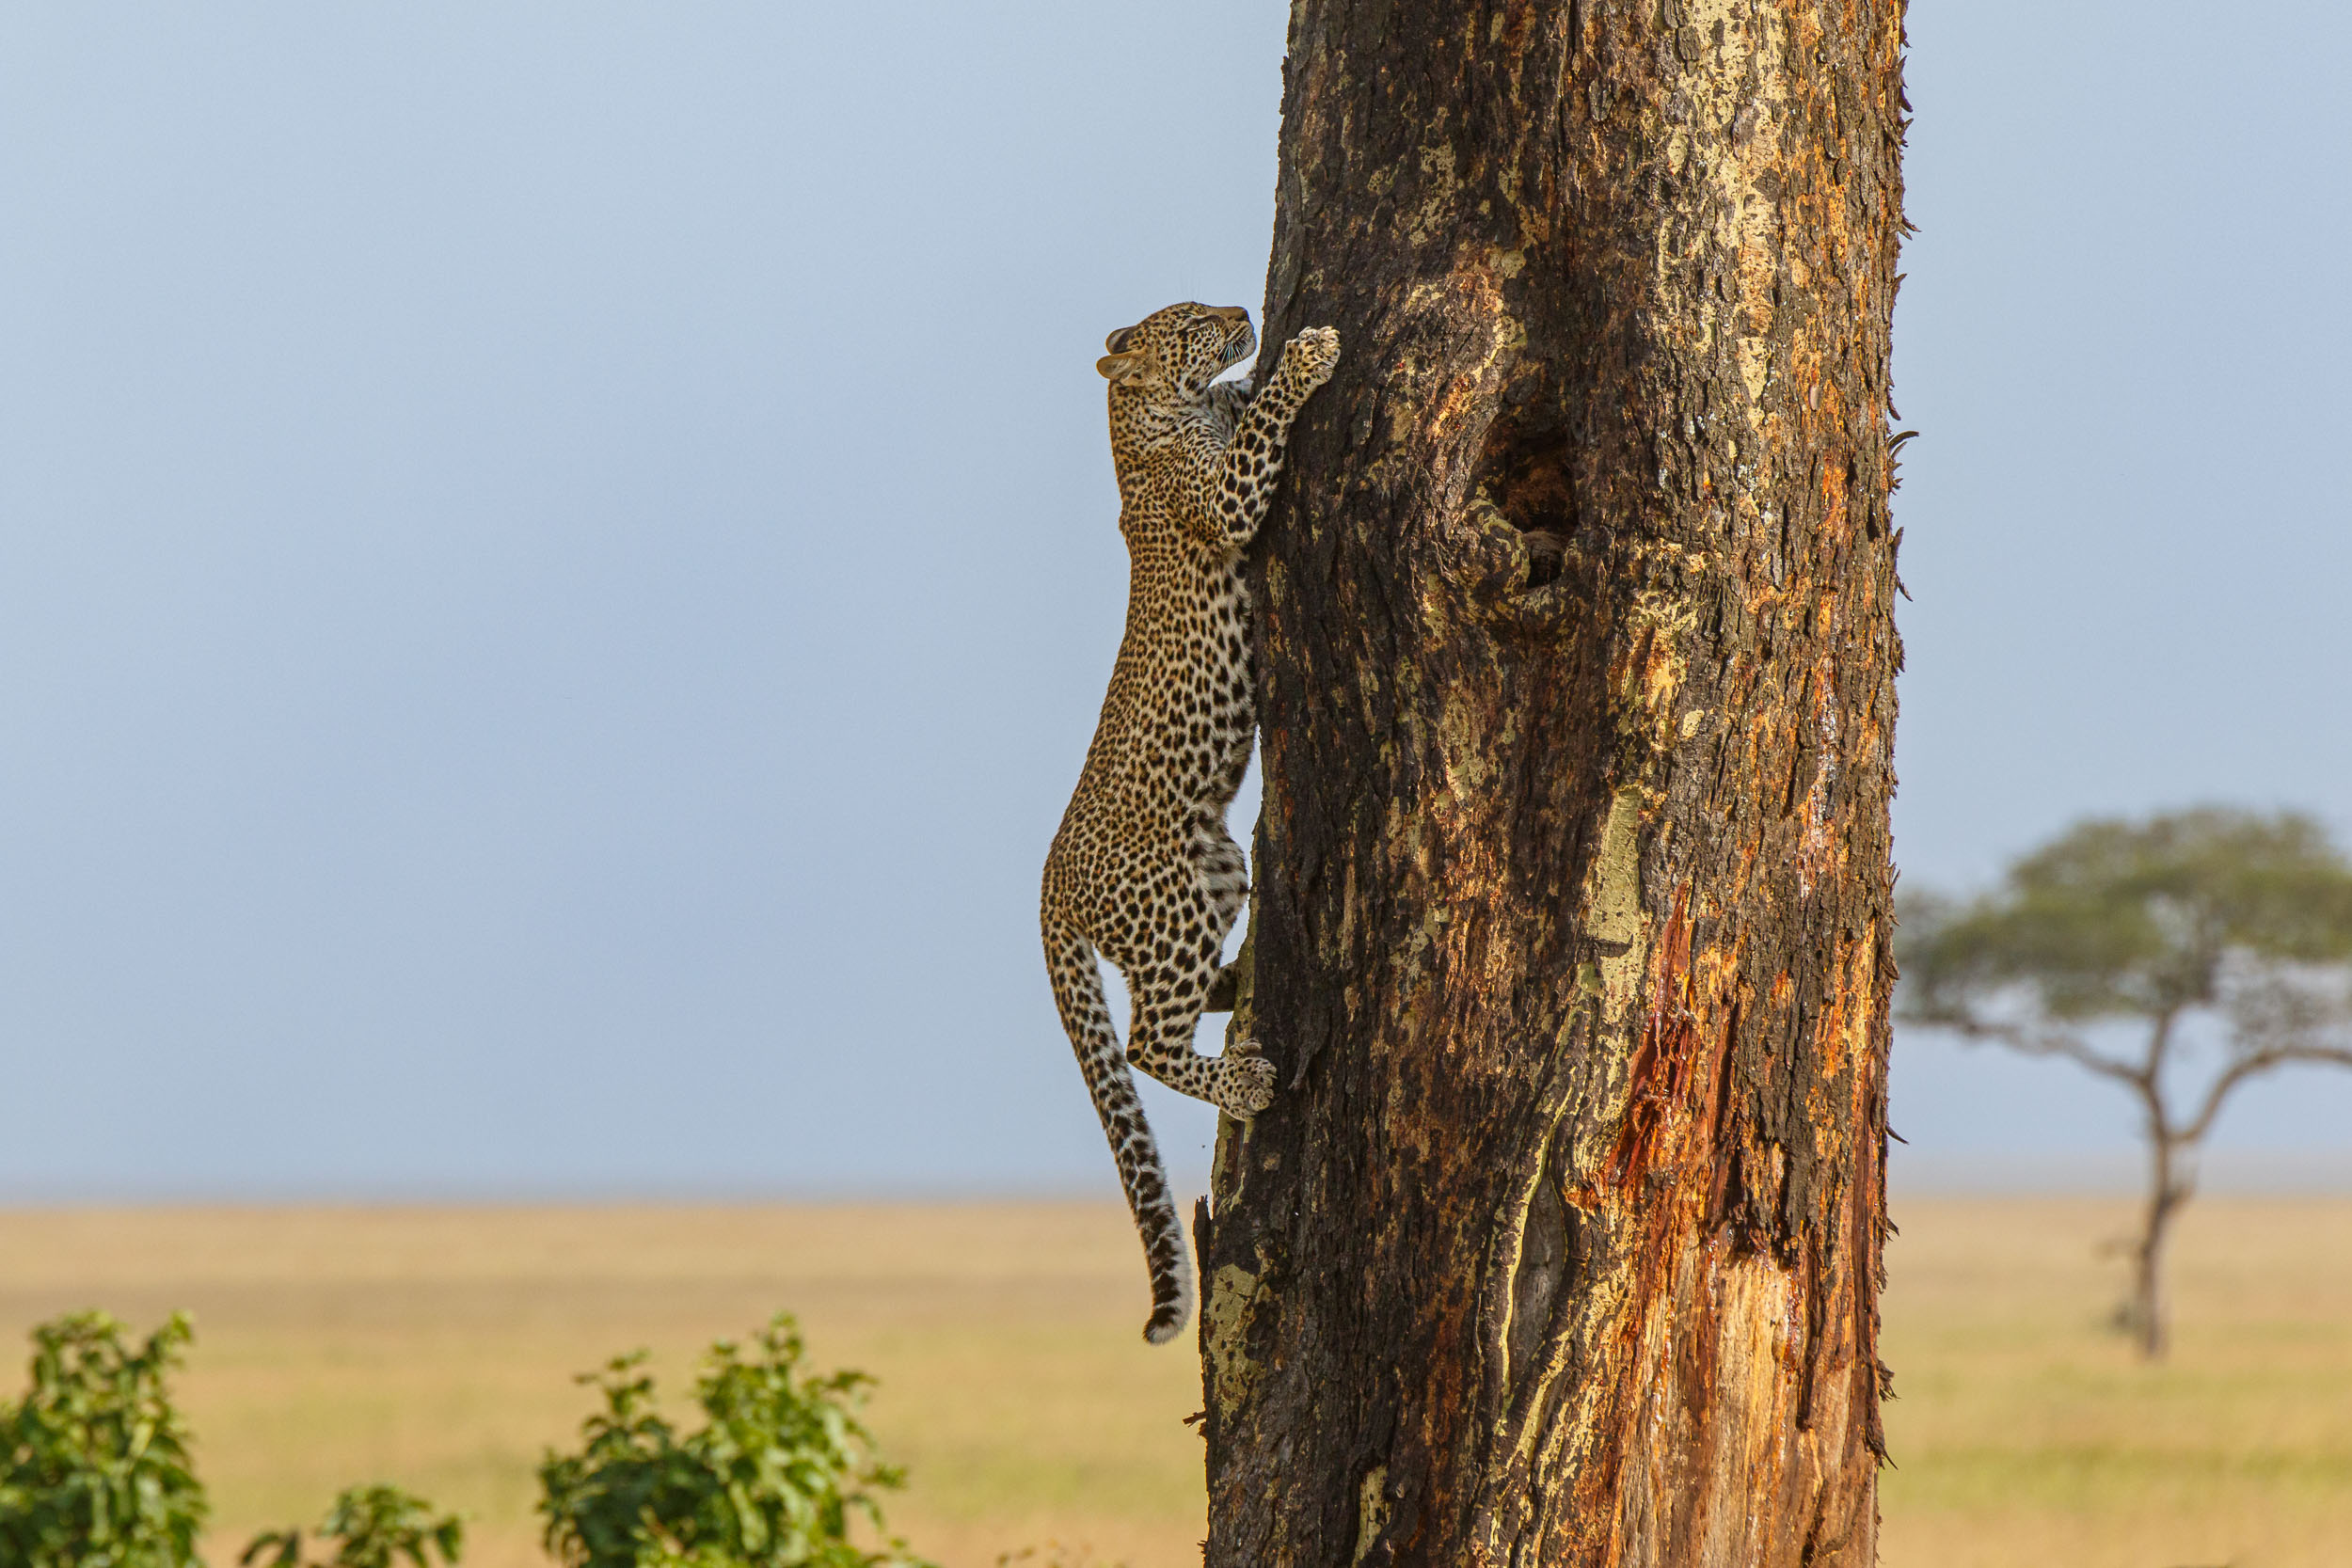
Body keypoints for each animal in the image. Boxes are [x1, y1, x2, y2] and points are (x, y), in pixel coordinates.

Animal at [1041, 301, 1340, 1344]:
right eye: (1186, 323)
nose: (1243, 311)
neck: (1142, 423)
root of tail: (1047, 883)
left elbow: (1242, 404)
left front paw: (1262, 365)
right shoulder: (1225, 499)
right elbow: (1261, 432)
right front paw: (1305, 356)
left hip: (1215, 867)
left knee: (1178, 999)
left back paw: (1242, 975)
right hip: (1167, 903)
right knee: (1144, 1042)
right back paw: (1243, 1080)